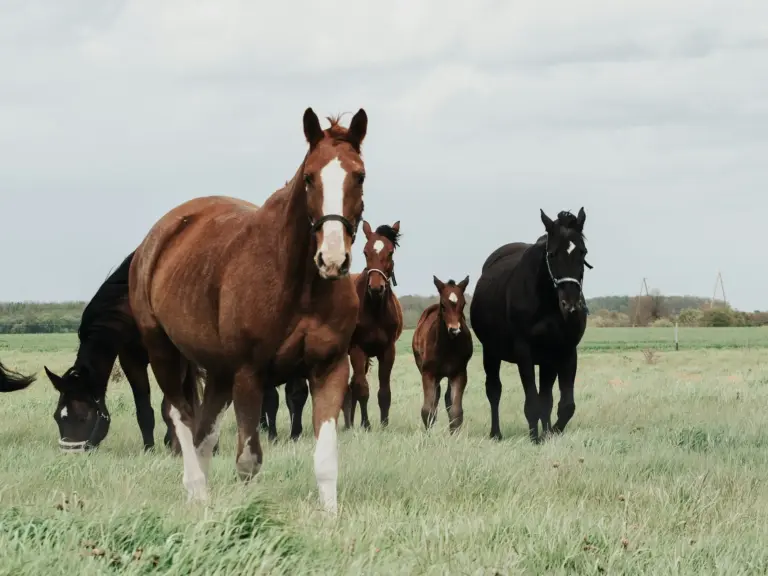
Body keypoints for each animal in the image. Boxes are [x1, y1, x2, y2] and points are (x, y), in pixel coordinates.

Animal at [43, 252, 191, 453]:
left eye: (83, 417)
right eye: (58, 416)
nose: (70, 452)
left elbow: (169, 406)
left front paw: (174, 448)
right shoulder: (131, 360)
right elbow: (144, 411)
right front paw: (149, 449)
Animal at [128, 107, 368, 513]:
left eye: (360, 175)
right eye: (309, 177)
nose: (333, 259)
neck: (300, 284)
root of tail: (157, 238)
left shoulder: (329, 368)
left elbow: (325, 459)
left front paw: (330, 519)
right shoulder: (248, 374)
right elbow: (248, 462)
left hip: (219, 373)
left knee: (203, 433)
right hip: (164, 352)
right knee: (181, 417)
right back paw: (196, 493)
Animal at [342, 220, 404, 429]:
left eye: (390, 252)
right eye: (365, 252)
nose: (376, 288)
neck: (375, 310)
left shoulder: (388, 350)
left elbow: (384, 391)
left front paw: (384, 424)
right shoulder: (357, 349)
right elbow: (362, 388)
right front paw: (366, 424)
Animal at [412, 276, 473, 432]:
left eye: (463, 304)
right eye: (443, 305)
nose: (454, 330)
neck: (447, 347)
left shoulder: (459, 373)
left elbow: (455, 411)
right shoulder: (428, 373)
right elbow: (428, 410)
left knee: (446, 399)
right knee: (436, 398)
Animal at [469, 208, 591, 443]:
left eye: (583, 252)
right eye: (552, 254)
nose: (570, 304)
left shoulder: (564, 352)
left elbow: (562, 405)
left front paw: (550, 433)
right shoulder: (524, 352)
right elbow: (533, 402)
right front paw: (535, 438)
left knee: (546, 397)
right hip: (491, 352)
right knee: (494, 391)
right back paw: (496, 433)